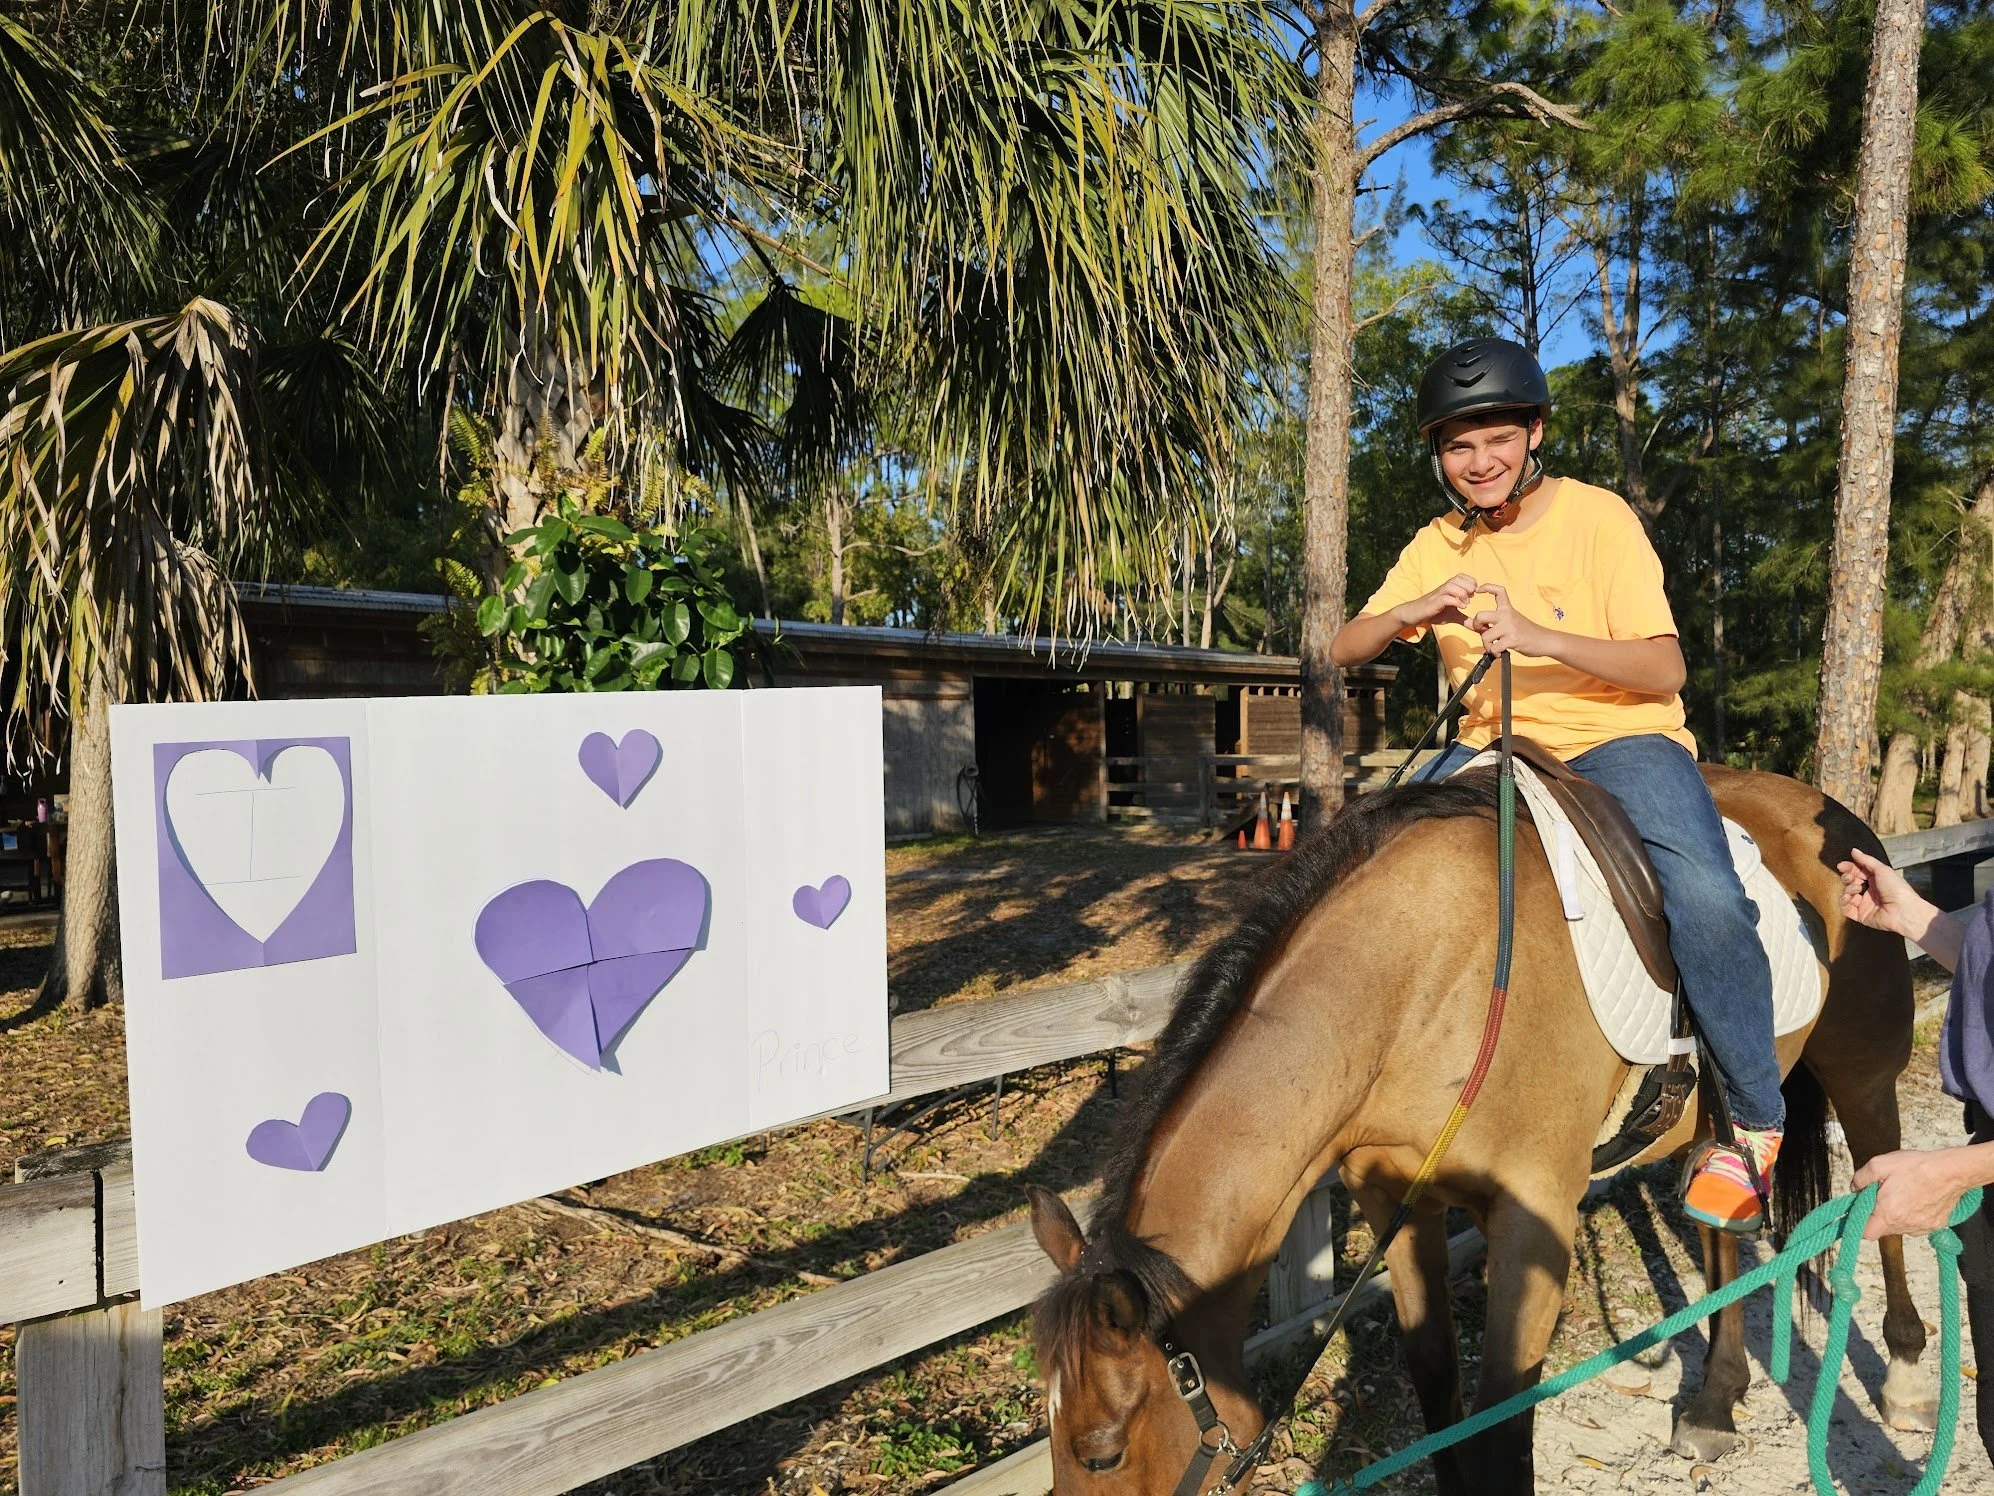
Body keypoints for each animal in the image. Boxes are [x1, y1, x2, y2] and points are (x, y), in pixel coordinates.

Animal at [1026, 764, 1927, 1495]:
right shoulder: (1397, 1204)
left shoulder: (1536, 1222)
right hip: (1718, 1114)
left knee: (1887, 1184)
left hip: (1863, 1073)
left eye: (1101, 1451)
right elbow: (1437, 1393)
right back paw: (1715, 1401)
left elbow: (1500, 1430)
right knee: (1720, 1231)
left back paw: (1906, 1373)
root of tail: (1827, 808)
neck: (1419, 985)